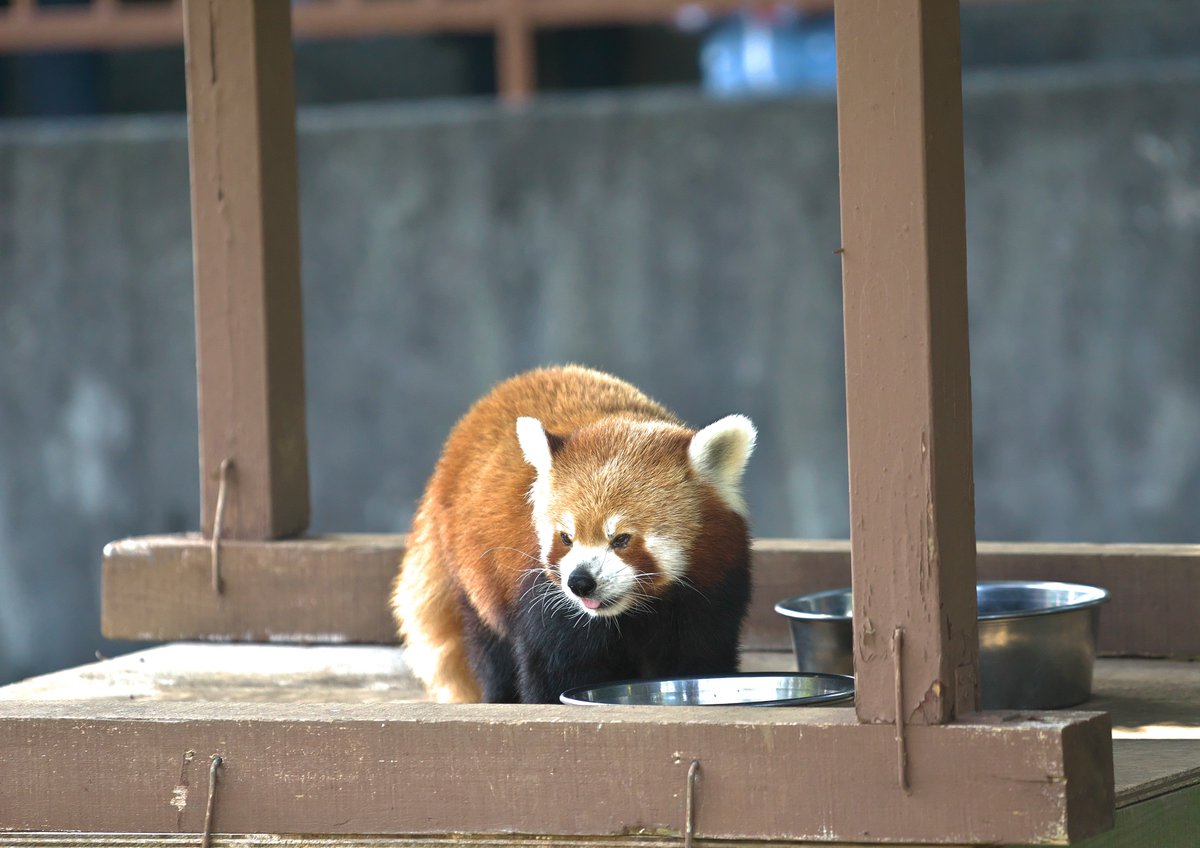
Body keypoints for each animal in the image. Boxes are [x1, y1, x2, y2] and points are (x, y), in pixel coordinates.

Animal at [388, 364, 753, 705]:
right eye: (566, 538)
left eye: (621, 539)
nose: (580, 582)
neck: (631, 612)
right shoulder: (547, 603)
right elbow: (556, 669)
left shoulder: (711, 588)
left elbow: (698, 658)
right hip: (475, 576)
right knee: (490, 648)